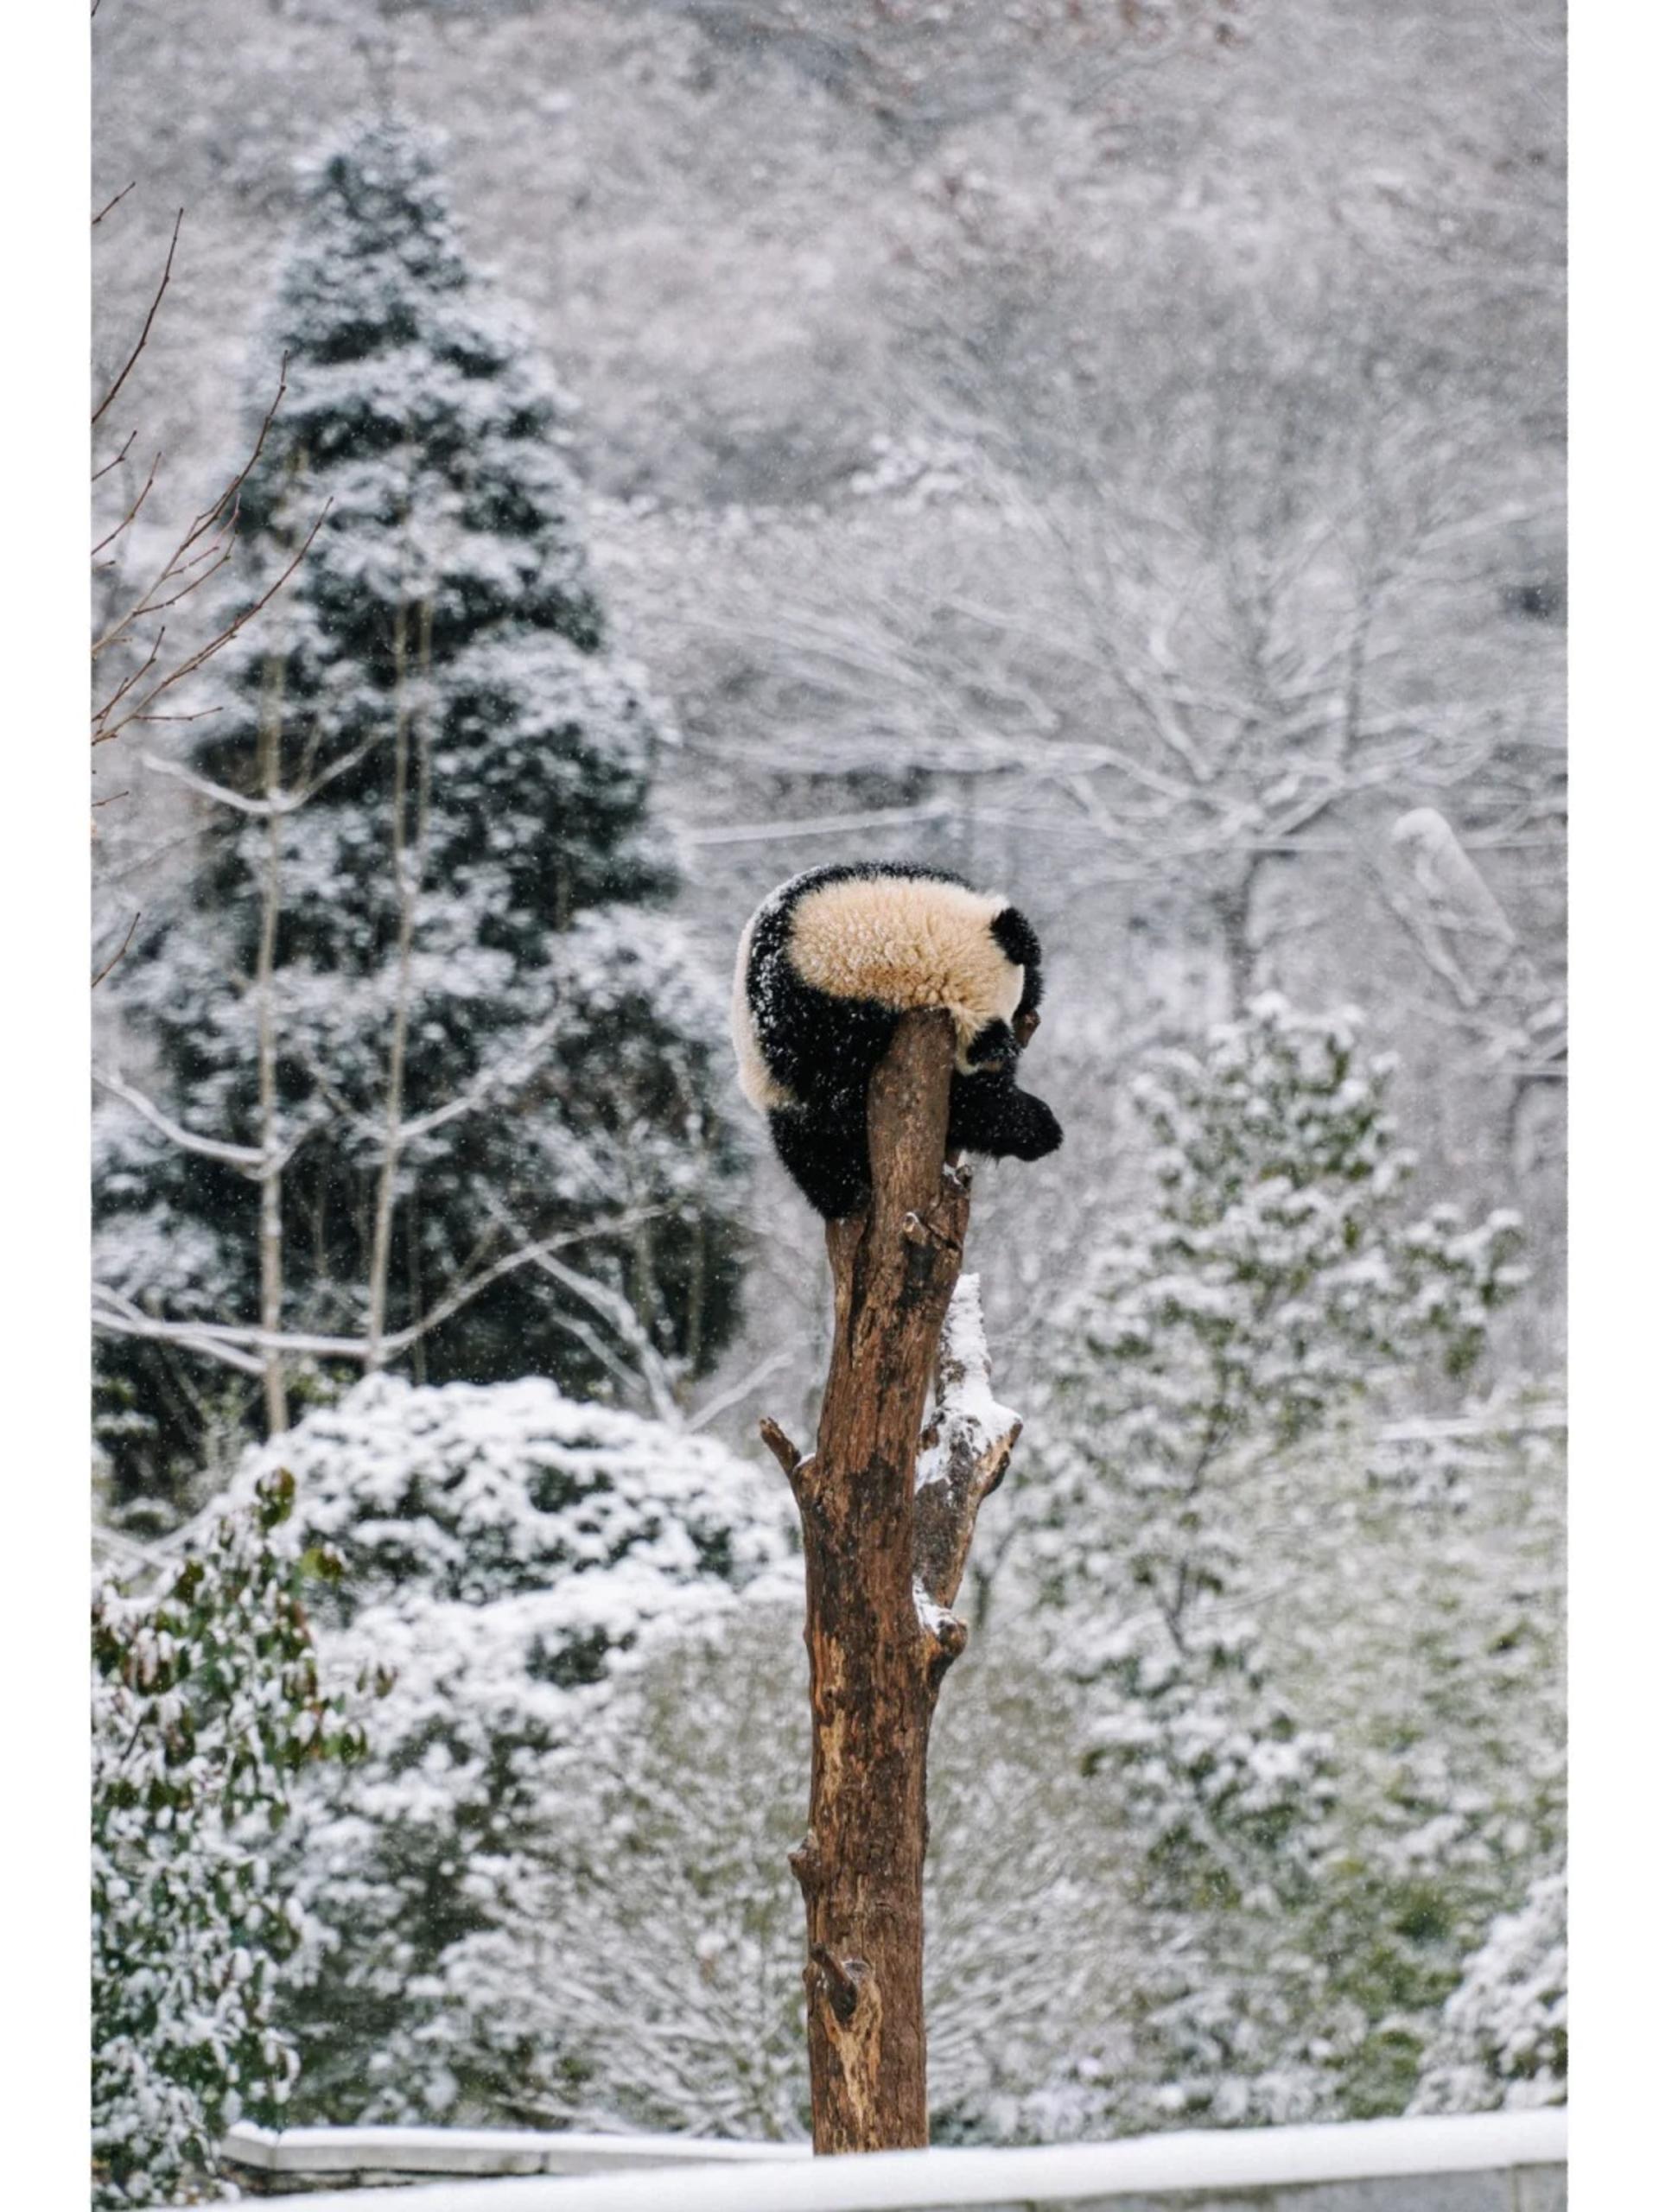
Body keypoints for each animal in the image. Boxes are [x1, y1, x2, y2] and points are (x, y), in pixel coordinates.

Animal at [731, 861, 1063, 1219]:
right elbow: (850, 1103)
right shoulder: (818, 1029)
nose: (1001, 1056)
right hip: (773, 1088)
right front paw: (1036, 1125)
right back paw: (845, 1193)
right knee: (810, 1147)